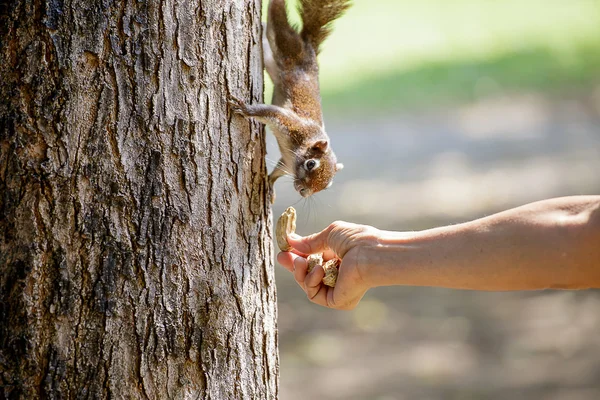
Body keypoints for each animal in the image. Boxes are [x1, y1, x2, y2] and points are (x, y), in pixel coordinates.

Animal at [231, 0, 352, 203]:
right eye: (310, 164)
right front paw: (246, 109)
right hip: (286, 46)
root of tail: (308, 49)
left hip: (273, 60)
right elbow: (269, 111)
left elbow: (277, 172)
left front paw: (270, 186)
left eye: (327, 185)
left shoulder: (286, 164)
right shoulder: (292, 124)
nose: (303, 191)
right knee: (277, 21)